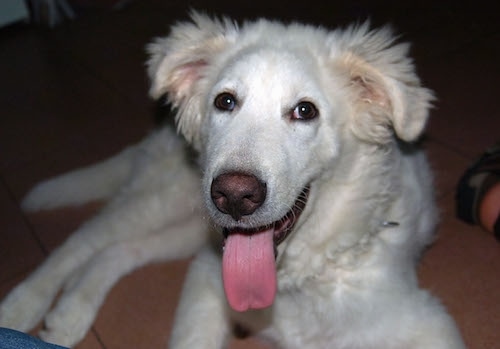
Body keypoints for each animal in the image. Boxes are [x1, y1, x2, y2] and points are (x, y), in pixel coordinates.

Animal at [1, 12, 466, 348]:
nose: (235, 196)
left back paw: (70, 313)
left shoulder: (426, 324)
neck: (292, 282)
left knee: (119, 251)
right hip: (166, 199)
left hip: (190, 226)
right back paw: (21, 306)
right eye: (225, 101)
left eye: (305, 111)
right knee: (81, 241)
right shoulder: (207, 281)